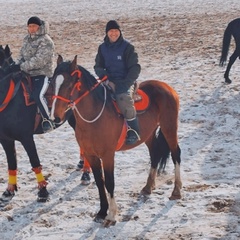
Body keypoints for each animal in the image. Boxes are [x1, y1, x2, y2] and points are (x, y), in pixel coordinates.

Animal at [0, 44, 81, 202]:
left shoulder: (26, 138)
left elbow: (35, 162)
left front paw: (43, 191)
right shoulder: (5, 139)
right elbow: (11, 163)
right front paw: (10, 190)